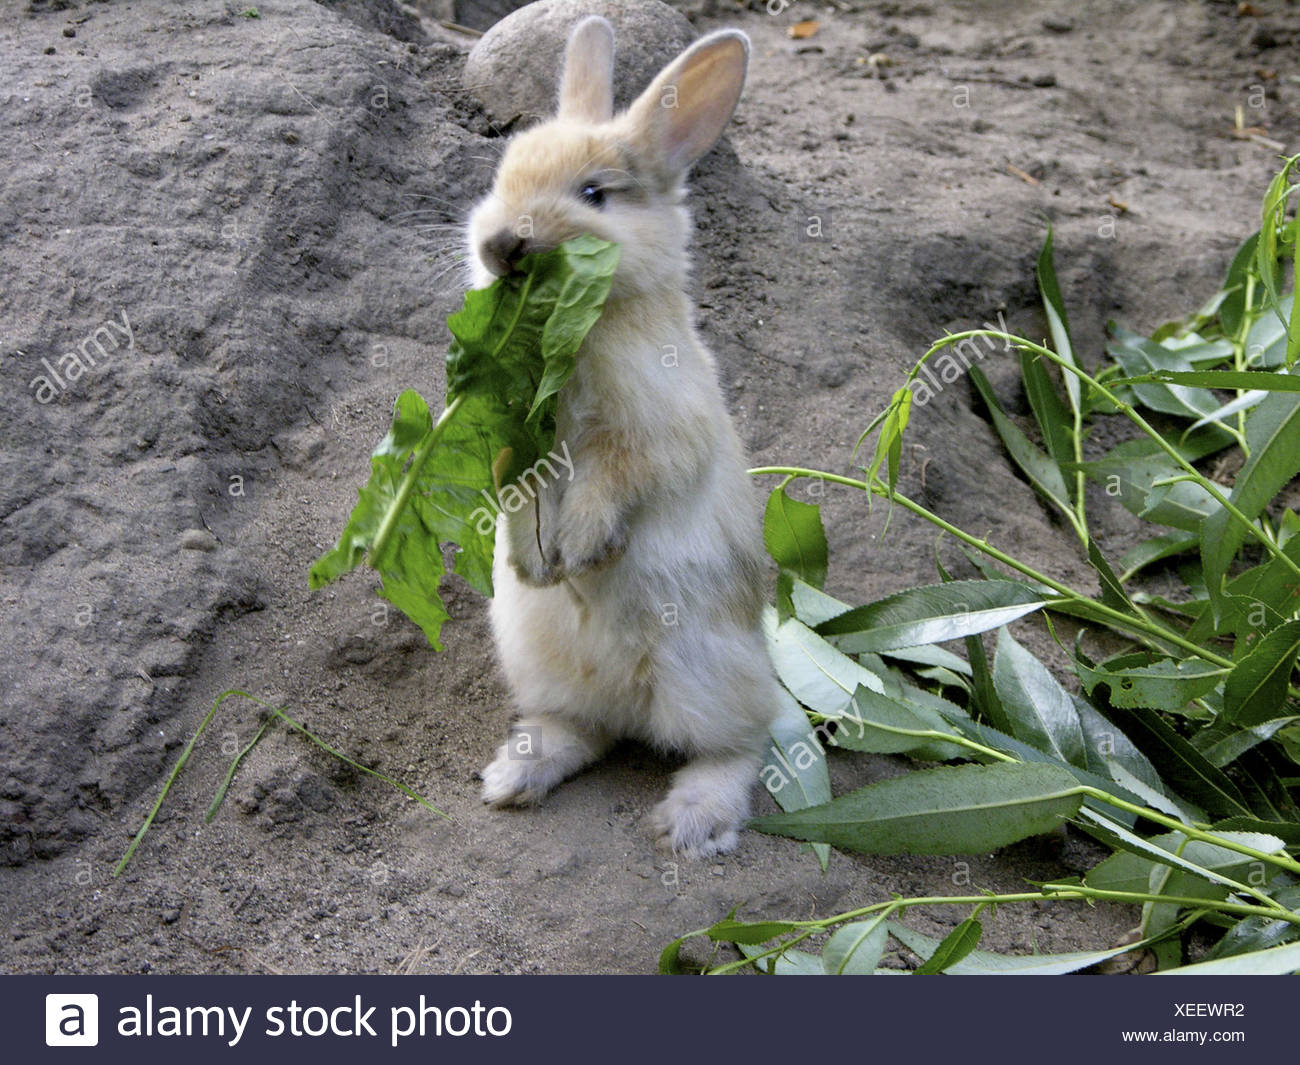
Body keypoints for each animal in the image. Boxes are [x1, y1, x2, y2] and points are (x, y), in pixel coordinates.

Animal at [470, 14, 780, 858]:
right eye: (501, 174)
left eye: (593, 194)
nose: (501, 245)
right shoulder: (515, 448)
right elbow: (518, 492)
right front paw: (536, 562)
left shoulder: (654, 439)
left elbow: (613, 478)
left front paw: (578, 551)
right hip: (537, 661)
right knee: (583, 731)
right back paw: (510, 779)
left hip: (706, 675)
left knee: (742, 744)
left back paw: (691, 821)